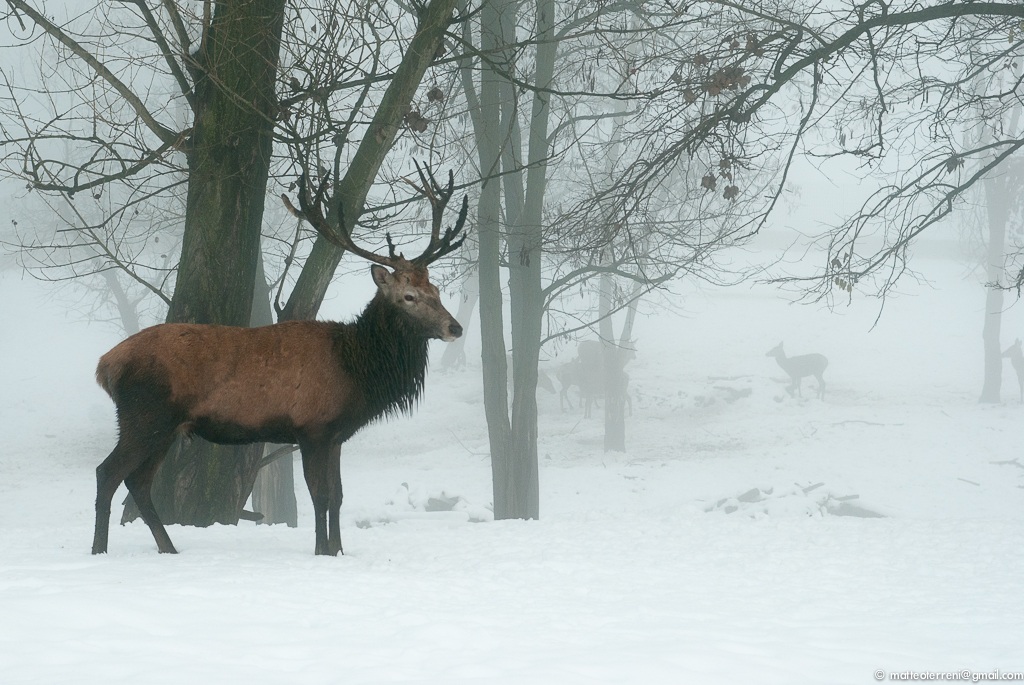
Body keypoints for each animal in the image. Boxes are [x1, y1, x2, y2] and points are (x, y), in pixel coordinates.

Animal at [92, 165, 466, 557]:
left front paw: (338, 551)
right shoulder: (313, 427)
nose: (455, 328)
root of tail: (105, 366)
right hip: (144, 415)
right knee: (108, 473)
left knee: (137, 482)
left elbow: (339, 497)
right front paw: (321, 551)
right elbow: (320, 496)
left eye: (436, 291)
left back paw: (169, 549)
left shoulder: (336, 435)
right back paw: (100, 550)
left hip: (164, 427)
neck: (356, 369)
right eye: (409, 296)